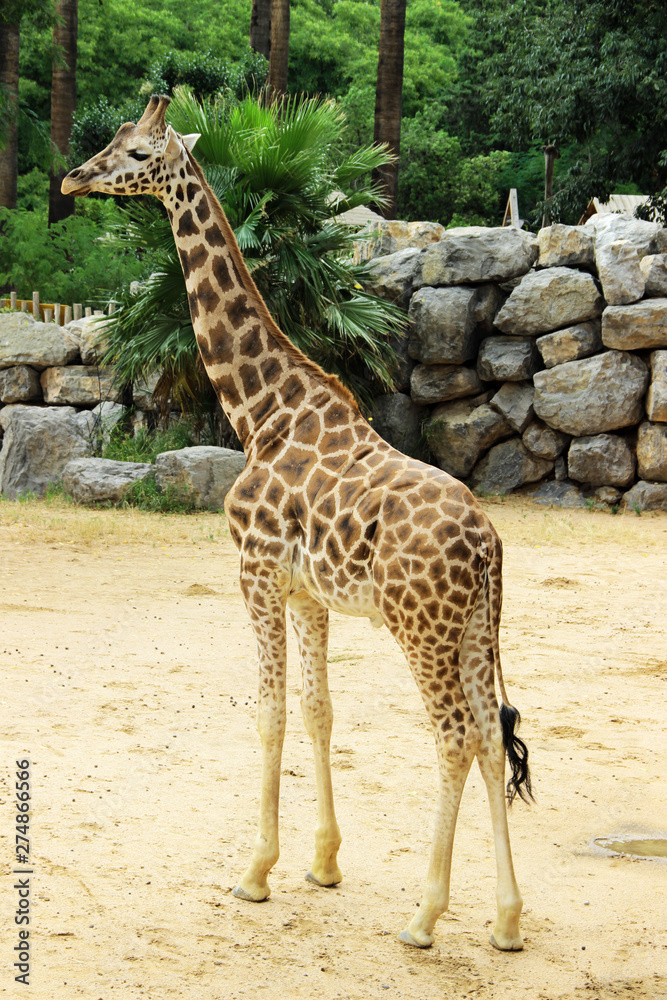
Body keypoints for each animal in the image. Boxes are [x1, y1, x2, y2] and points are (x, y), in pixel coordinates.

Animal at [62, 94, 532, 953]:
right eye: (111, 141)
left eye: (136, 151)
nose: (74, 179)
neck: (261, 413)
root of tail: (487, 544)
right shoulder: (310, 593)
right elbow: (318, 712)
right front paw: (321, 863)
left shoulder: (252, 570)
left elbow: (269, 714)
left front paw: (255, 872)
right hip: (477, 629)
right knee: (489, 735)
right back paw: (506, 922)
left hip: (419, 626)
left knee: (452, 736)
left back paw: (424, 917)